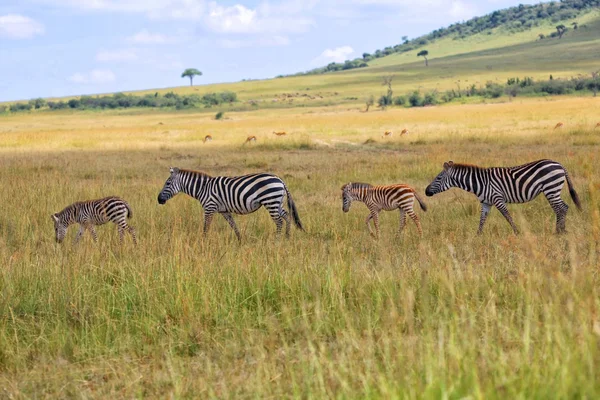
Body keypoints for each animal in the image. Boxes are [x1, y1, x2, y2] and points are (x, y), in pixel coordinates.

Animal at [158, 166, 304, 241]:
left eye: (168, 183)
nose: (159, 200)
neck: (203, 188)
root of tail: (280, 179)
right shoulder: (224, 211)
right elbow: (233, 225)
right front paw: (240, 240)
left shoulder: (209, 207)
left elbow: (206, 227)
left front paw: (203, 242)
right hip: (277, 202)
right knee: (287, 216)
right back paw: (287, 238)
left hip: (271, 201)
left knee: (279, 222)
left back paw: (277, 241)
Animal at [424, 159, 580, 234]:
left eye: (438, 178)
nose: (426, 192)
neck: (480, 183)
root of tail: (559, 164)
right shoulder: (486, 203)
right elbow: (482, 220)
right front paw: (478, 235)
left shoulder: (497, 198)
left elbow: (507, 216)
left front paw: (517, 232)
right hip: (552, 189)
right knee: (562, 207)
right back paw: (561, 230)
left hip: (551, 188)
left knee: (561, 208)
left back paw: (559, 231)